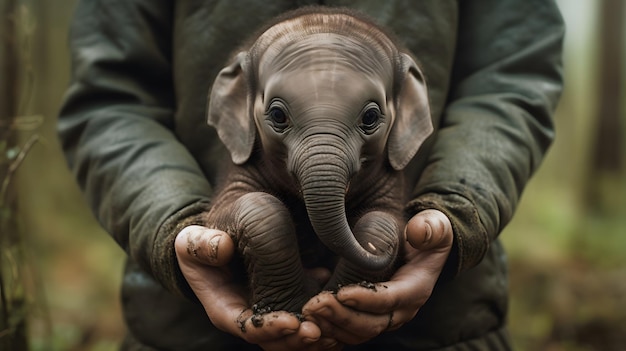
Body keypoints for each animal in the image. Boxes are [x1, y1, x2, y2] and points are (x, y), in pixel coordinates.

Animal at [204, 6, 428, 314]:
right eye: (278, 115)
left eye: (370, 117)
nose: (318, 283)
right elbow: (253, 208)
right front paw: (284, 309)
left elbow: (382, 221)